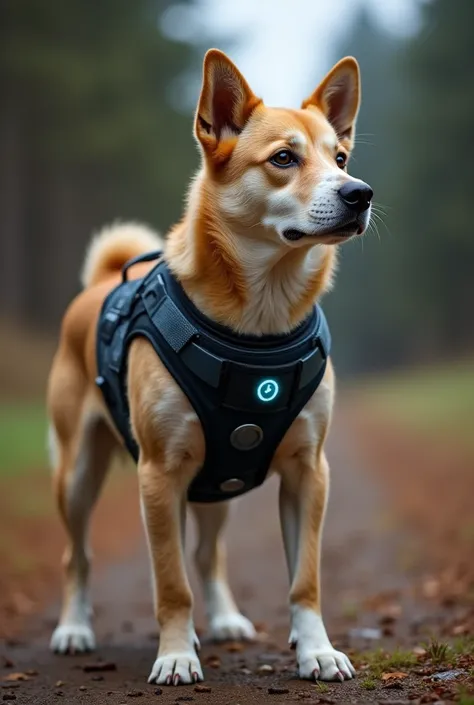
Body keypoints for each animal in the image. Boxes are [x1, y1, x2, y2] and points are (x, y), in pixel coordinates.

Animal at [48, 51, 374, 688]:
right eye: (284, 158)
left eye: (340, 158)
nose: (361, 193)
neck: (259, 324)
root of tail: (98, 284)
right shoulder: (159, 474)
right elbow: (171, 584)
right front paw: (176, 654)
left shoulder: (309, 471)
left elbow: (305, 580)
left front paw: (317, 651)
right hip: (78, 474)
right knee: (78, 555)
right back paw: (74, 629)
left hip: (221, 483)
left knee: (207, 553)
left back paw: (222, 620)